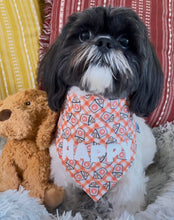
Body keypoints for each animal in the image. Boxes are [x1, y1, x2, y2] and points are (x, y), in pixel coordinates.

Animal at [37, 6, 163, 218]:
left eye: (125, 41)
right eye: (84, 35)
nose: (104, 41)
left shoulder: (129, 185)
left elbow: (125, 209)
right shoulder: (63, 175)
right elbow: (68, 201)